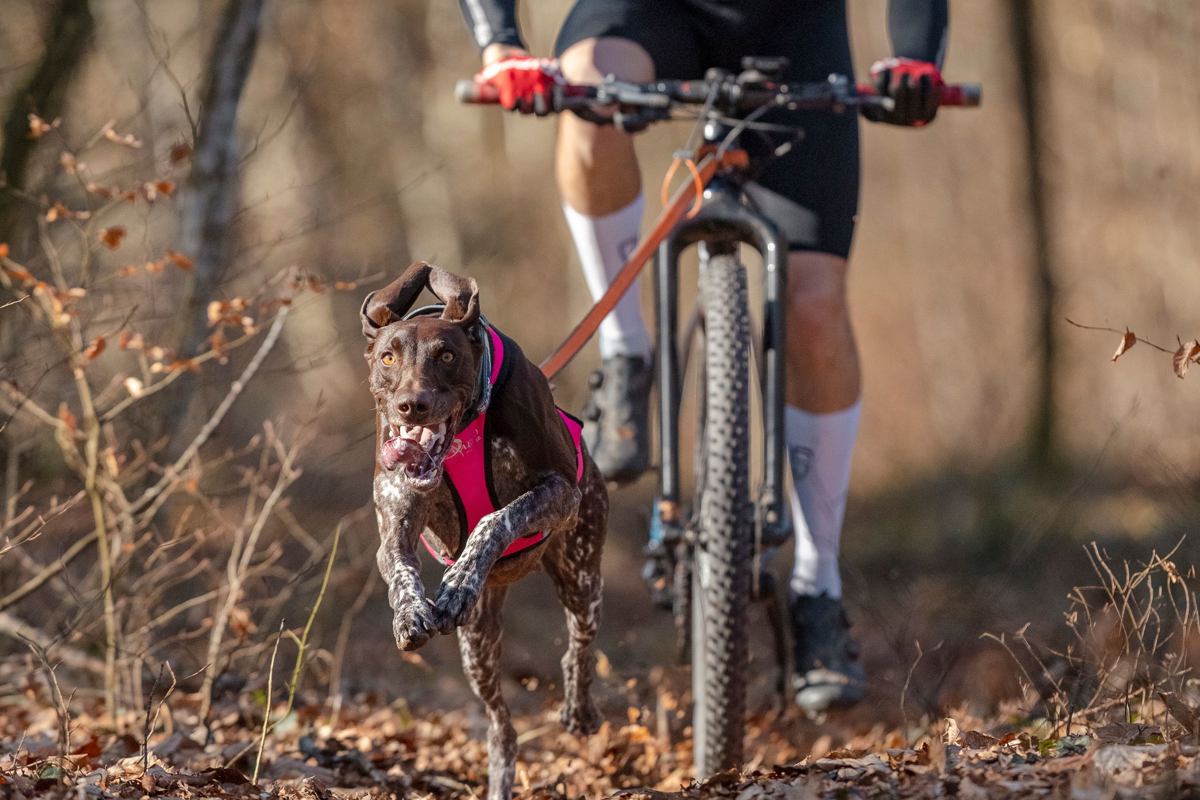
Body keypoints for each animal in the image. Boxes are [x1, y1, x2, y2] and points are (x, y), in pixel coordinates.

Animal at [362, 263, 609, 800]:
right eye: (389, 357)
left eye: (446, 355)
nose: (411, 406)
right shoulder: (395, 517)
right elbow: (400, 567)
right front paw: (410, 613)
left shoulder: (560, 492)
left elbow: (494, 520)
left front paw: (458, 582)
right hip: (478, 645)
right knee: (502, 725)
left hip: (582, 573)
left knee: (579, 645)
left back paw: (579, 709)